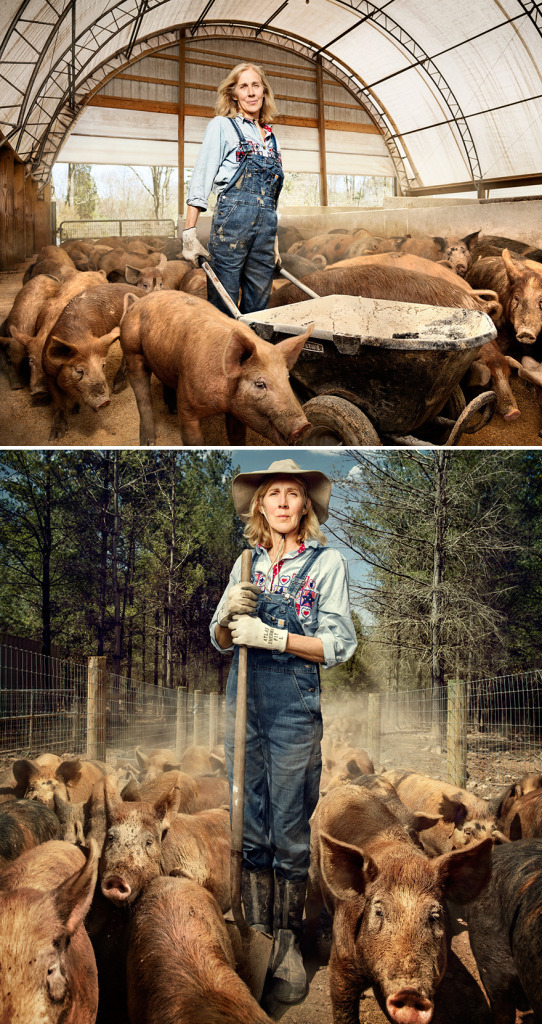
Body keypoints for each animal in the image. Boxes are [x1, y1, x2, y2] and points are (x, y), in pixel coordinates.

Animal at [119, 290, 311, 446]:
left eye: (287, 377)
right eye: (260, 384)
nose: (305, 426)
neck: (224, 400)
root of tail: (138, 301)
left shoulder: (236, 410)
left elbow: (237, 436)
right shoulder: (187, 403)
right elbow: (193, 439)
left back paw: (171, 409)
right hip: (131, 349)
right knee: (142, 394)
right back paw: (148, 442)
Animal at [307, 782, 491, 1024]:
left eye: (434, 915)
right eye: (379, 911)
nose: (410, 994)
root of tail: (345, 787)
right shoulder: (340, 961)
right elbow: (343, 1007)